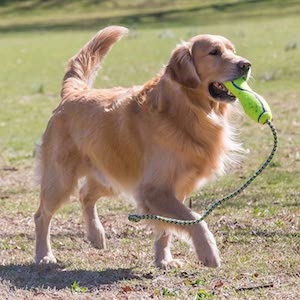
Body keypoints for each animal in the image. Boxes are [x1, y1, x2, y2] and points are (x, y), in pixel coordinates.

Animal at [34, 26, 251, 270]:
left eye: (233, 50)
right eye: (215, 52)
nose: (246, 65)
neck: (184, 111)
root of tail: (73, 93)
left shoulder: (172, 190)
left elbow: (166, 228)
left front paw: (163, 259)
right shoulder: (153, 190)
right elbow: (194, 219)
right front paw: (208, 252)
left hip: (112, 176)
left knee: (85, 194)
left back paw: (96, 235)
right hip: (61, 180)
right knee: (42, 215)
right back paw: (44, 255)